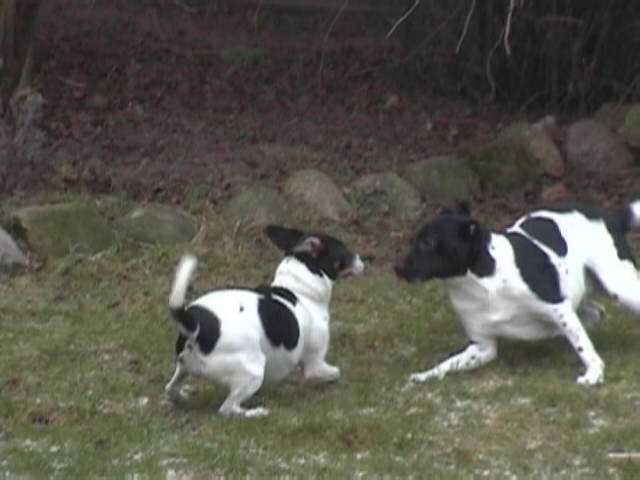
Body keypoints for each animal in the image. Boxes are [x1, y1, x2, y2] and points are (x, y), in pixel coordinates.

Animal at [165, 225, 364, 416]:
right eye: (345, 251)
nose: (362, 259)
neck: (298, 289)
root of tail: (195, 325)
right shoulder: (315, 365)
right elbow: (335, 373)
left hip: (184, 367)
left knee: (170, 389)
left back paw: (181, 396)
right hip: (253, 370)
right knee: (227, 409)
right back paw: (255, 412)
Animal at [396, 200, 640, 386]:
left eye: (428, 243)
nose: (397, 268)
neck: (486, 281)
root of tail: (612, 218)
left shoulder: (558, 307)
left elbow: (582, 345)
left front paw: (594, 373)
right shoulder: (482, 348)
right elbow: (448, 363)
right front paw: (425, 376)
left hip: (620, 287)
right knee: (594, 313)